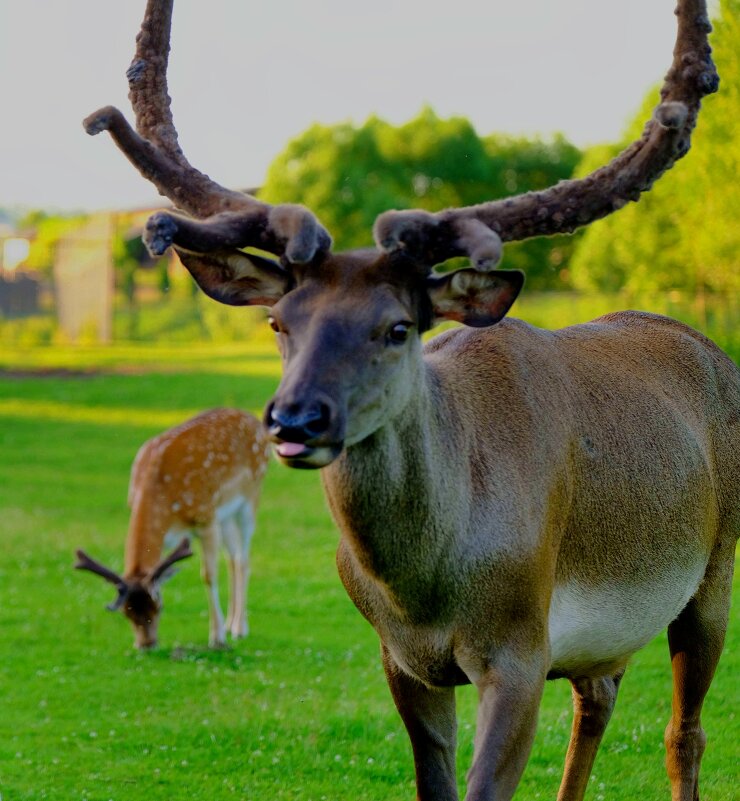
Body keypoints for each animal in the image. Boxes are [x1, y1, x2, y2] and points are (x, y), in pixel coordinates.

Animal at [76, 408, 270, 649]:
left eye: (158, 607)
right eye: (126, 612)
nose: (146, 645)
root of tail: (253, 419)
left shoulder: (206, 517)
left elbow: (209, 575)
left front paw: (216, 638)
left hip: (251, 496)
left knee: (243, 558)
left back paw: (239, 629)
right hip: (226, 514)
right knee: (232, 557)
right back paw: (230, 624)